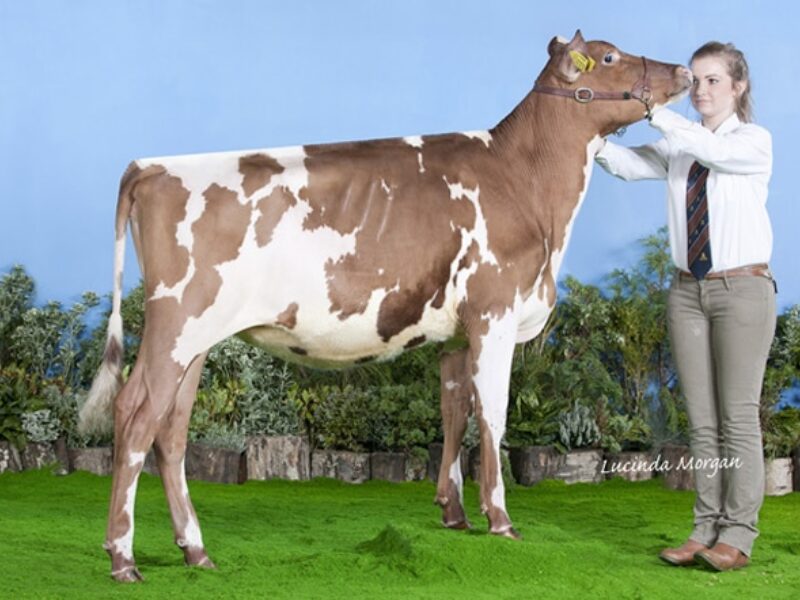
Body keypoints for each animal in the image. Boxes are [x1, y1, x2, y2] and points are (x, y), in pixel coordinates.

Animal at [80, 30, 692, 581]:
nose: (684, 70)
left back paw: (195, 550)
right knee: (135, 416)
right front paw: (500, 521)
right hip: (175, 325)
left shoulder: (457, 335)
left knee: (171, 429)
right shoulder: (494, 314)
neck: (527, 182)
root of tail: (151, 167)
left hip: (197, 339)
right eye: (609, 57)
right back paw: (123, 557)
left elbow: (454, 413)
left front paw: (453, 514)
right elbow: (492, 415)